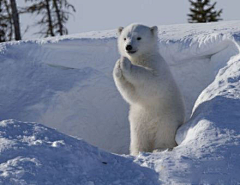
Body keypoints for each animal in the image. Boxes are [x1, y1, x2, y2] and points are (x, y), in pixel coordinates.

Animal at [113, 23, 186, 155]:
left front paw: (125, 63)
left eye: (139, 38)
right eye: (125, 38)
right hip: (138, 122)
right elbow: (130, 93)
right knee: (139, 139)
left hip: (167, 118)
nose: (128, 47)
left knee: (165, 134)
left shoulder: (158, 66)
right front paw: (118, 66)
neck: (142, 58)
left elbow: (152, 80)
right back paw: (138, 152)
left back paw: (160, 148)